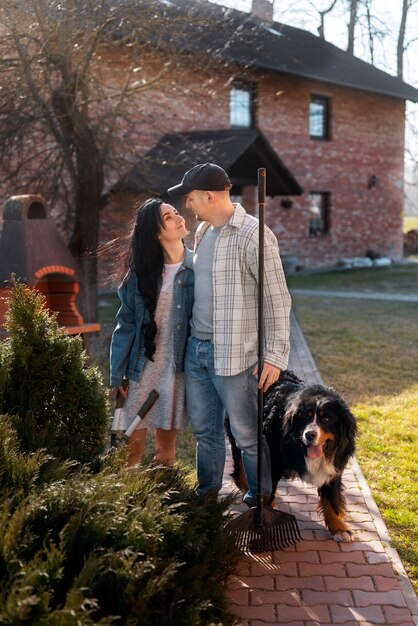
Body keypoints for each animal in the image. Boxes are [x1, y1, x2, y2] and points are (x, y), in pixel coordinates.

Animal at [227, 368, 358, 540]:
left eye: (326, 418)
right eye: (306, 416)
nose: (309, 434)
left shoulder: (333, 466)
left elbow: (332, 500)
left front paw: (338, 528)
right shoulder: (273, 460)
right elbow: (267, 493)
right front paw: (263, 523)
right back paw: (245, 485)